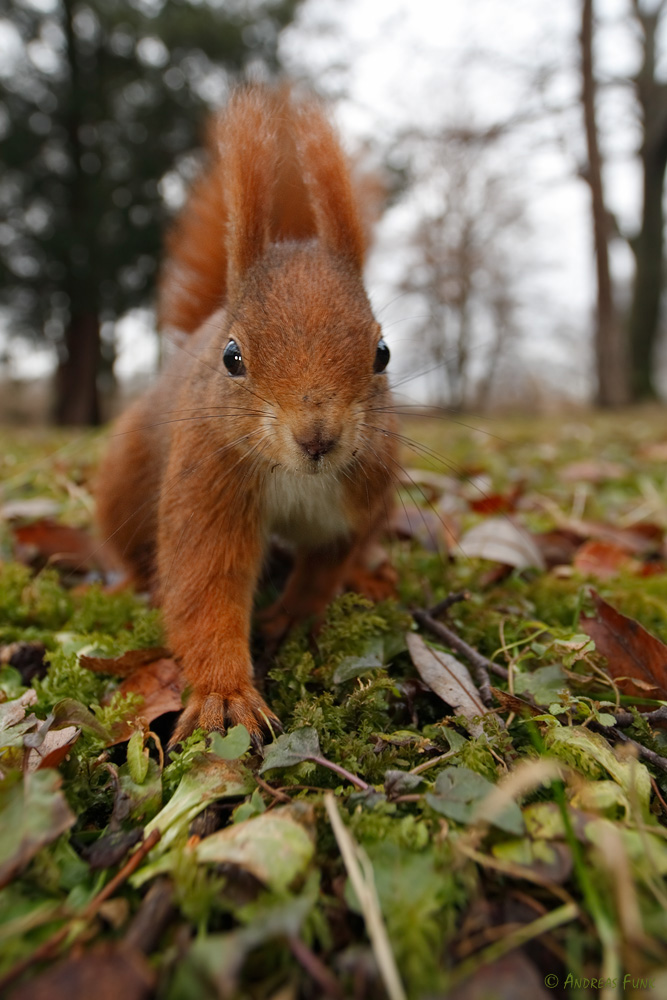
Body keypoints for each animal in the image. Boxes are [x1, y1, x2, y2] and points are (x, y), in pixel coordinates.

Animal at [97, 84, 400, 744]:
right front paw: (225, 695)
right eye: (232, 357)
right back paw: (132, 583)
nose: (318, 438)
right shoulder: (209, 480)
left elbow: (326, 563)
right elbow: (204, 584)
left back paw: (371, 577)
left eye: (383, 353)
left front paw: (297, 612)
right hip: (126, 478)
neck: (297, 480)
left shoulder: (356, 496)